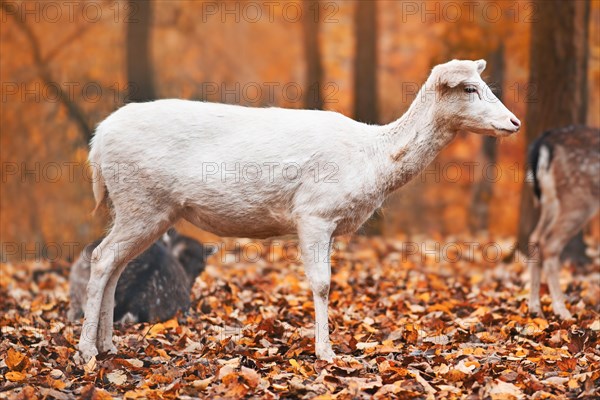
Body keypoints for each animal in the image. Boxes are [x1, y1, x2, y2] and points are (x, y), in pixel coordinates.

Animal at [81, 60, 520, 362]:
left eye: (485, 85)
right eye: (469, 88)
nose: (514, 122)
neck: (372, 159)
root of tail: (97, 143)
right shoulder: (314, 212)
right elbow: (322, 283)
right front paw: (326, 352)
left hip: (144, 208)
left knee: (114, 262)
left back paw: (107, 344)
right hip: (142, 200)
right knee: (102, 258)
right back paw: (87, 350)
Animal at [528, 125, 596, 318]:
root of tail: (542, 142)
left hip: (550, 200)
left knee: (535, 237)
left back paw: (535, 307)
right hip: (578, 200)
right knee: (549, 243)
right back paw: (562, 310)